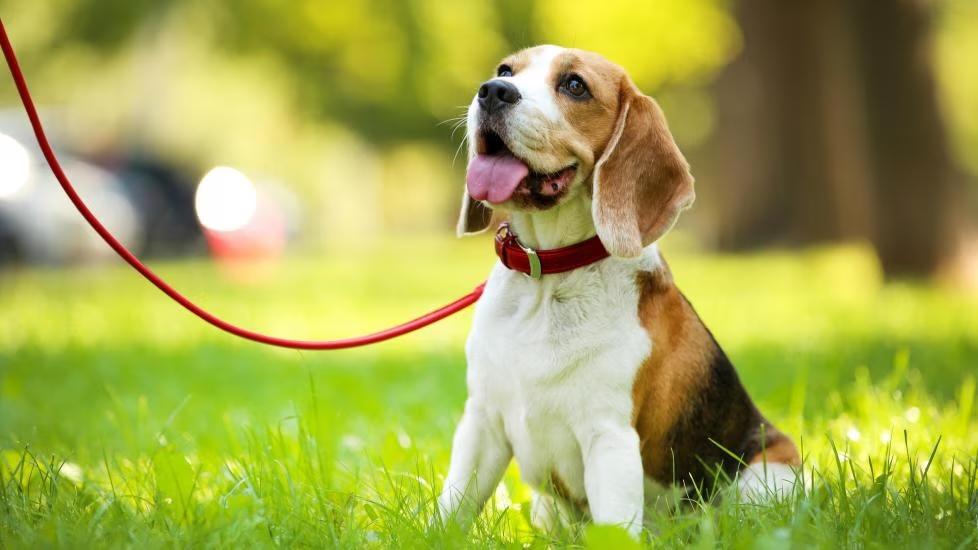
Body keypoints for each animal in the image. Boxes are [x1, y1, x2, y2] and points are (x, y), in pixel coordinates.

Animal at [438, 45, 796, 536]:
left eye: (575, 86)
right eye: (505, 70)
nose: (493, 91)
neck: (546, 277)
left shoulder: (608, 439)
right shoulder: (481, 423)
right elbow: (450, 509)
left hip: (764, 479)